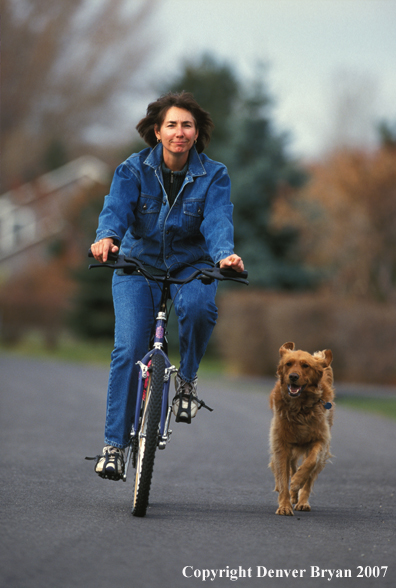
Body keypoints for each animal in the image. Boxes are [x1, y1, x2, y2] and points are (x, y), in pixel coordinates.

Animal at [270, 340, 334, 516]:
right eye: (288, 364)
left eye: (306, 365)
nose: (293, 376)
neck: (300, 408)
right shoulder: (281, 443)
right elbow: (283, 477)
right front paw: (284, 506)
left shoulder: (321, 440)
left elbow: (310, 462)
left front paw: (297, 482)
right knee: (290, 467)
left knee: (309, 477)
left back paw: (302, 501)